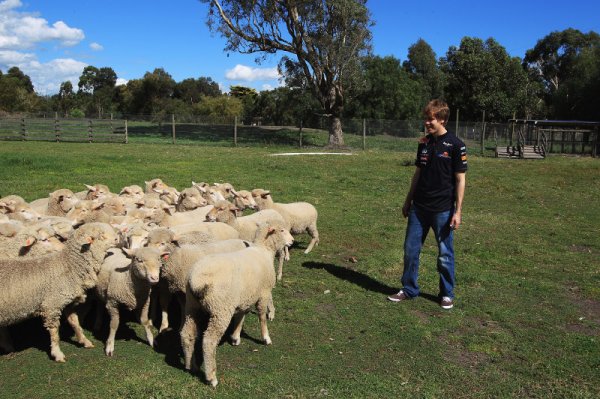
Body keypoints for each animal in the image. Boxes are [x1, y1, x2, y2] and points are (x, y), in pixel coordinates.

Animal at [0, 223, 119, 364]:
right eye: (101, 235)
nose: (117, 238)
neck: (68, 265)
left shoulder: (67, 302)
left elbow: (75, 323)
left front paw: (84, 341)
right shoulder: (52, 305)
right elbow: (54, 332)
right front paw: (57, 354)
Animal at [179, 222, 294, 388]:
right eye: (282, 230)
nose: (292, 241)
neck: (264, 251)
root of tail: (196, 281)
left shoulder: (245, 297)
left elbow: (241, 315)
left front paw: (235, 337)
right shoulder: (264, 293)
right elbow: (261, 316)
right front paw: (266, 338)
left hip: (191, 306)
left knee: (186, 334)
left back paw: (190, 365)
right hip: (220, 310)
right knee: (209, 341)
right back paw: (211, 377)